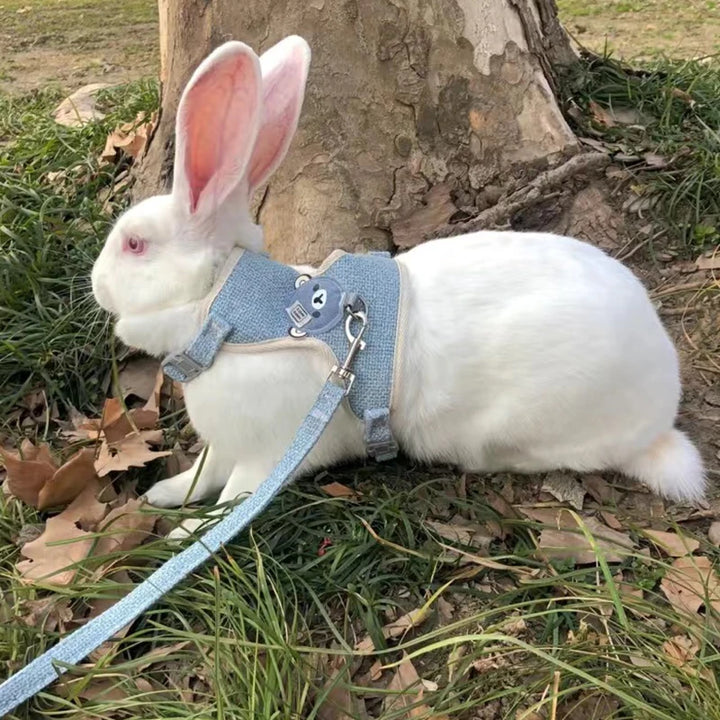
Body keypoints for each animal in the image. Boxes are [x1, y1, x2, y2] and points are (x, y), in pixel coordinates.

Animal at [91, 38, 704, 536]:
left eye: (135, 245)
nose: (96, 286)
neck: (227, 311)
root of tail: (660, 407)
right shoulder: (226, 443)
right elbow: (202, 472)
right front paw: (165, 493)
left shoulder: (269, 455)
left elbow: (234, 499)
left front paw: (185, 534)